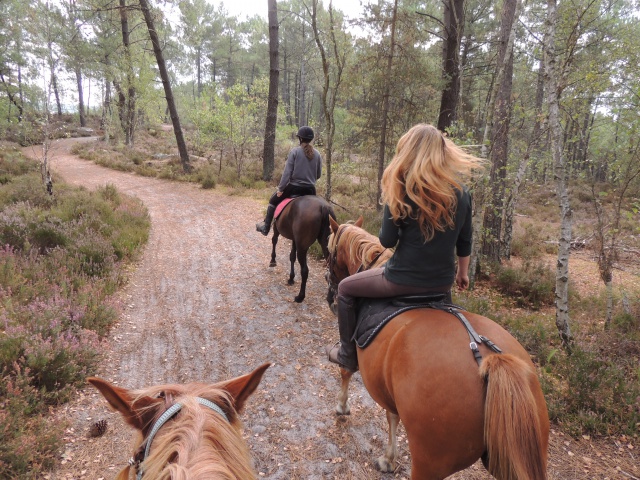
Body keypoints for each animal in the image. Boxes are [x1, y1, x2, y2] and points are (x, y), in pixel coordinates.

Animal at [328, 218, 548, 480]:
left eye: (329, 251)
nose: (331, 297)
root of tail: (489, 360)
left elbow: (346, 370)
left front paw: (342, 406)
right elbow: (392, 416)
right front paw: (388, 458)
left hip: (429, 462)